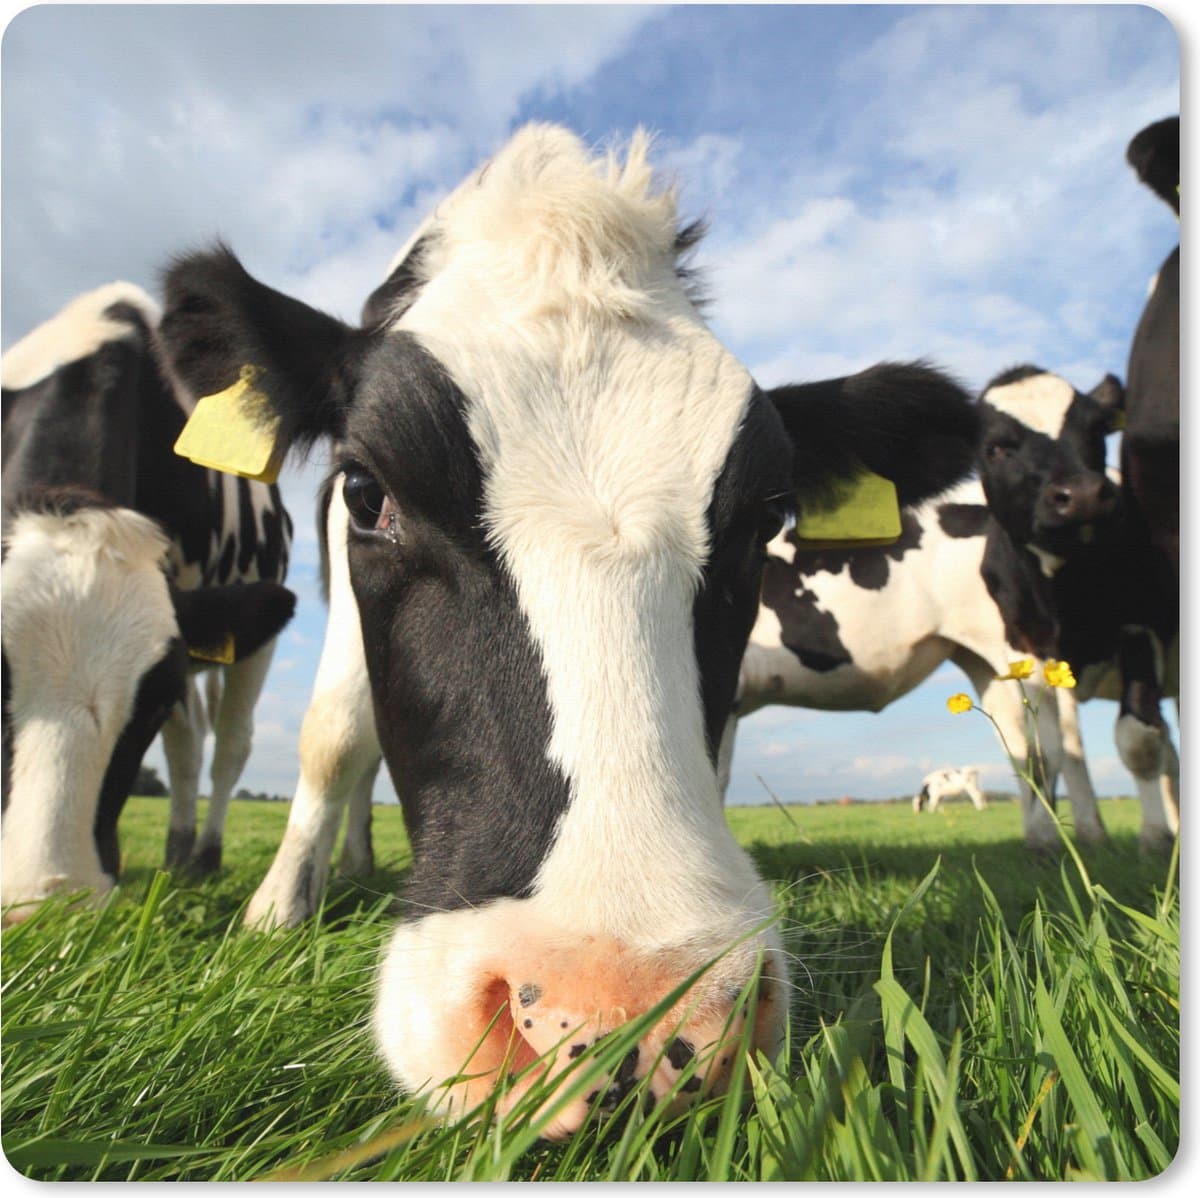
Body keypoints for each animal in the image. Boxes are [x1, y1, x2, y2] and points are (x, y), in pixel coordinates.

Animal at [723, 478, 1106, 850]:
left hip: (1023, 642)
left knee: (1045, 750)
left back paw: (1048, 844)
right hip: (990, 663)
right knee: (1036, 746)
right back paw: (1074, 837)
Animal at [976, 364, 1178, 853]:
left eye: (1097, 429)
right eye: (996, 447)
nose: (1083, 494)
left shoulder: (1140, 626)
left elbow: (1138, 739)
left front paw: (1155, 838)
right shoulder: (1027, 648)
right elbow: (1046, 753)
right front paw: (1046, 842)